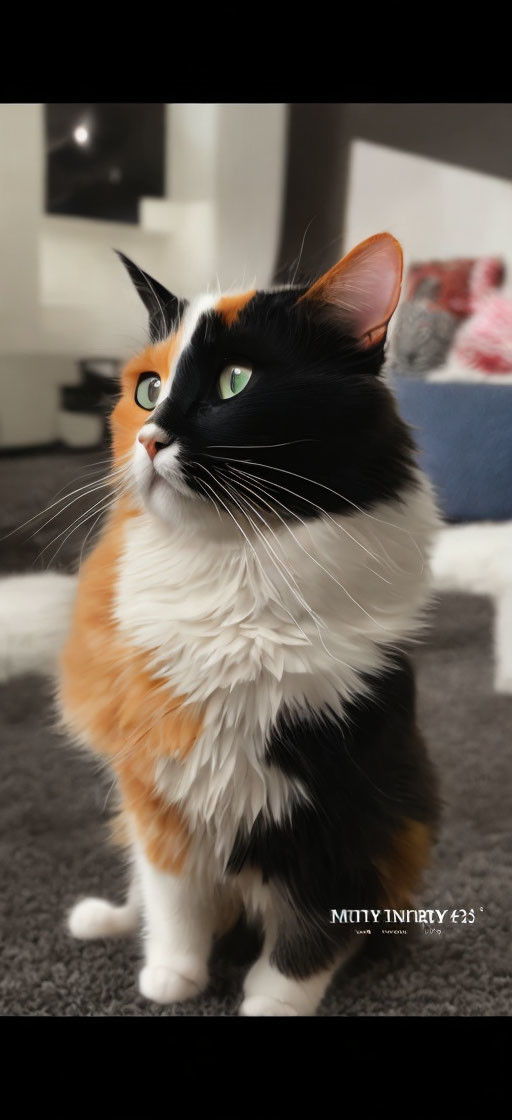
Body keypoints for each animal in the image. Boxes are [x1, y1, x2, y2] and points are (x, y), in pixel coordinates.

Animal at [56, 234, 439, 1016]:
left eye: (235, 382)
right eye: (147, 390)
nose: (150, 438)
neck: (237, 573)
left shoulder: (344, 795)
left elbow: (317, 925)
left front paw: (272, 1000)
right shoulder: (158, 785)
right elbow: (174, 895)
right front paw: (173, 975)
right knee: (140, 887)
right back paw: (103, 920)